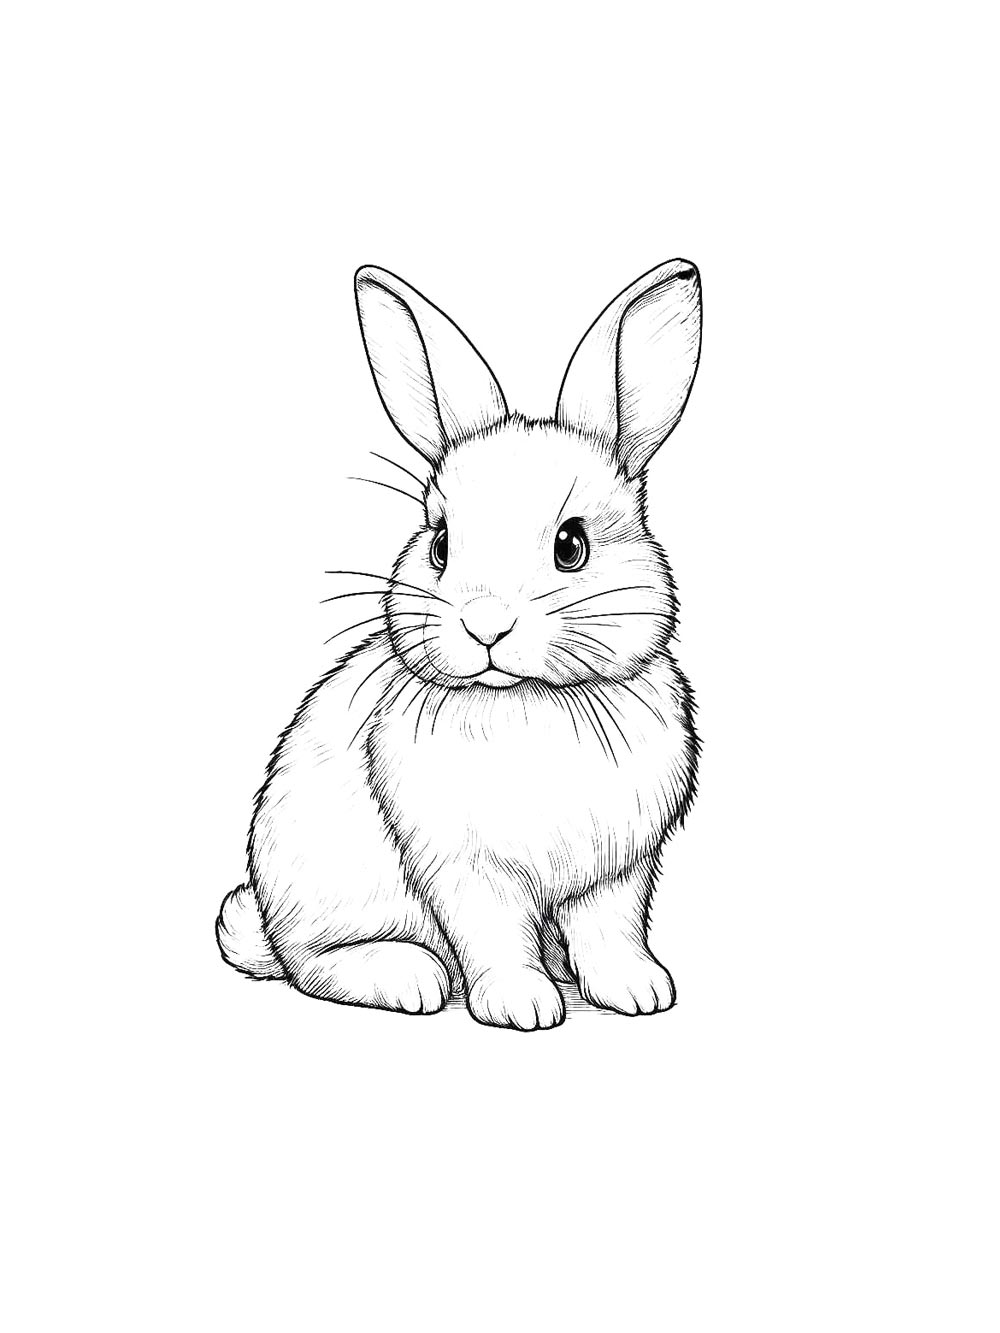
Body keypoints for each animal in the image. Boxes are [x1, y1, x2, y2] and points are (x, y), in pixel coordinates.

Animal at [216, 259, 702, 1030]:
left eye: (572, 544)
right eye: (440, 543)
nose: (484, 623)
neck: (528, 703)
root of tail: (263, 921)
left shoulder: (618, 869)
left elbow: (612, 930)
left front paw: (639, 991)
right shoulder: (467, 871)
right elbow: (493, 935)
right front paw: (522, 1005)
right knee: (313, 966)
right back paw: (410, 977)